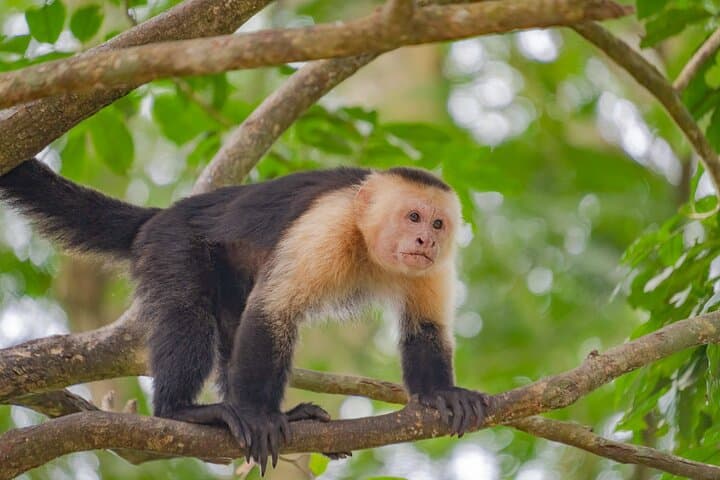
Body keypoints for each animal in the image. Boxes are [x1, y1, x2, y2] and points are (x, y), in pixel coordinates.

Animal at [0, 158, 488, 473]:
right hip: (171, 244)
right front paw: (256, 416)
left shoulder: (434, 267)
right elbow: (272, 311)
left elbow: (426, 329)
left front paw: (440, 394)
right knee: (189, 314)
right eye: (413, 216)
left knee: (232, 324)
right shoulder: (327, 225)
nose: (425, 240)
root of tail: (165, 214)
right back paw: (185, 411)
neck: (367, 243)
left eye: (438, 224)